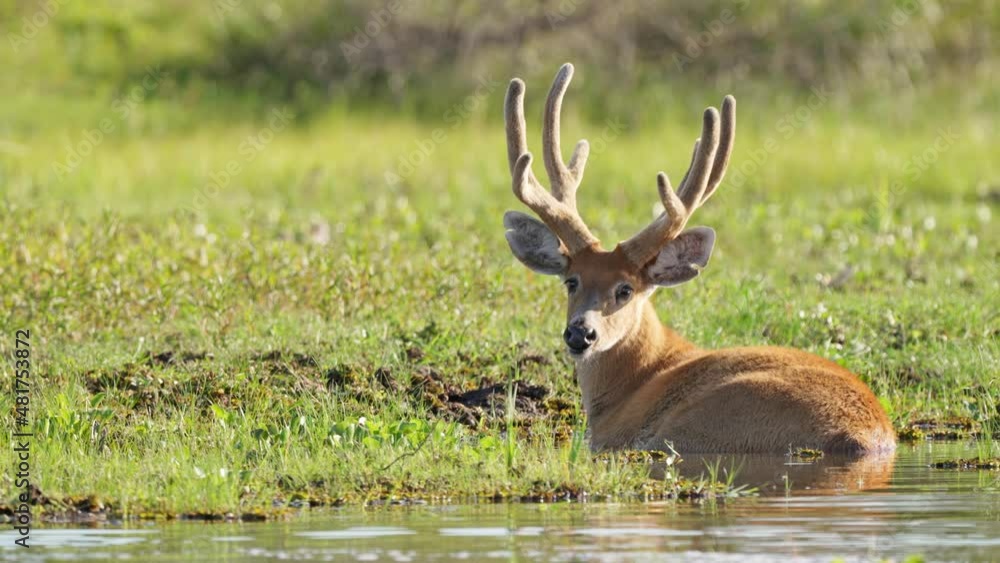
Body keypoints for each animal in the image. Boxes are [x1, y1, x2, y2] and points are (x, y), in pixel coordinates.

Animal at [502, 64, 896, 454]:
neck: (641, 377)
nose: (580, 333)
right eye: (572, 281)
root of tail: (862, 437)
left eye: (625, 289)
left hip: (702, 424)